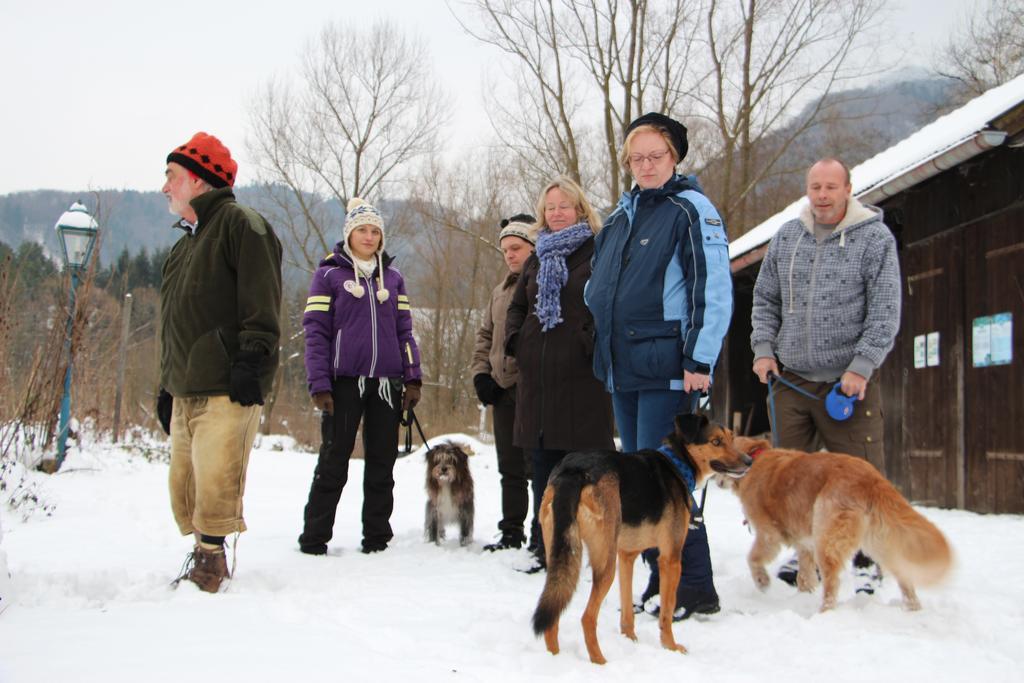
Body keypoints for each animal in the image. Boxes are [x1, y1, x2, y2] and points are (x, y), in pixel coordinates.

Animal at [532, 413, 749, 663]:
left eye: (732, 438)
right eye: (716, 442)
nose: (749, 461)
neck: (678, 463)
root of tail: (573, 470)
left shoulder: (626, 556)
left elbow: (627, 609)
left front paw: (630, 640)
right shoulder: (670, 559)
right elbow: (667, 610)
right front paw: (670, 646)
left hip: (561, 552)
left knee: (553, 613)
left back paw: (555, 658)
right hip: (604, 563)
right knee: (587, 618)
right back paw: (600, 662)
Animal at [729, 438, 950, 614]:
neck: (756, 459)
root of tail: (872, 479)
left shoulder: (769, 535)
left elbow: (753, 558)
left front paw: (762, 582)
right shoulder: (804, 543)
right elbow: (805, 576)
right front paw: (803, 596)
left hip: (827, 540)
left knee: (832, 583)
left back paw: (824, 614)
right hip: (877, 543)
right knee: (903, 576)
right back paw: (913, 609)